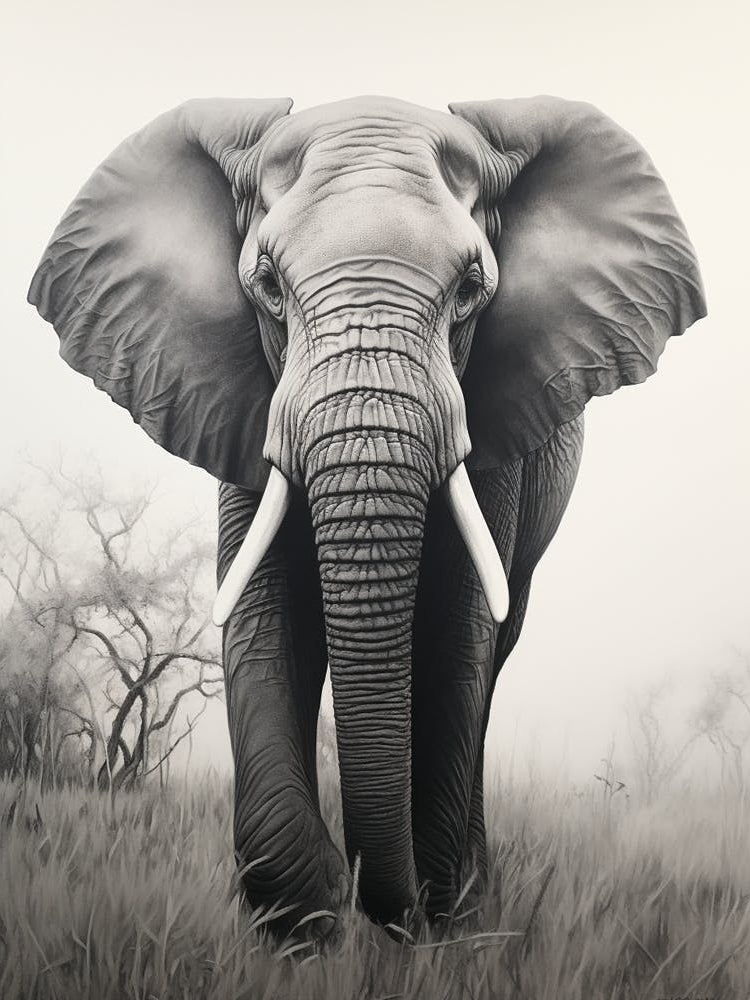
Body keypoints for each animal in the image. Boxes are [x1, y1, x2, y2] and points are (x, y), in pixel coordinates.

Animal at [28, 96, 704, 936]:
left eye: (471, 286)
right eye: (268, 285)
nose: (377, 901)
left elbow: (455, 638)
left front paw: (435, 922)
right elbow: (265, 616)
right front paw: (307, 917)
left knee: (492, 657)